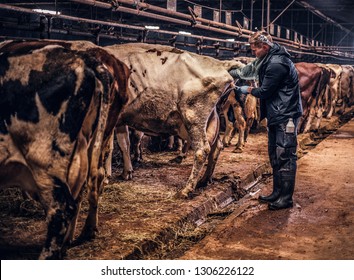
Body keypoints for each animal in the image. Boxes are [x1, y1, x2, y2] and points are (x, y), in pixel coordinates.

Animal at [103, 42, 243, 198]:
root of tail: (221, 64)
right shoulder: (119, 120)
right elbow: (123, 143)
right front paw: (126, 172)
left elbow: (107, 148)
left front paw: (106, 177)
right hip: (212, 117)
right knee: (216, 146)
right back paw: (204, 180)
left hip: (193, 115)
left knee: (203, 149)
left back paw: (186, 189)